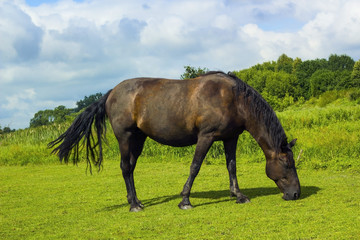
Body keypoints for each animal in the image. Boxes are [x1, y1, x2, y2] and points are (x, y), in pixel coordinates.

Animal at [48, 70, 300, 211]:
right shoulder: (206, 137)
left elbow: (232, 167)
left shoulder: (230, 138)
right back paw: (134, 206)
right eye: (288, 164)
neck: (234, 98)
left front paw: (238, 195)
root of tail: (111, 92)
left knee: (130, 168)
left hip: (138, 140)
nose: (296, 194)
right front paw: (185, 200)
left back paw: (135, 201)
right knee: (125, 168)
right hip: (126, 138)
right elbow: (195, 167)